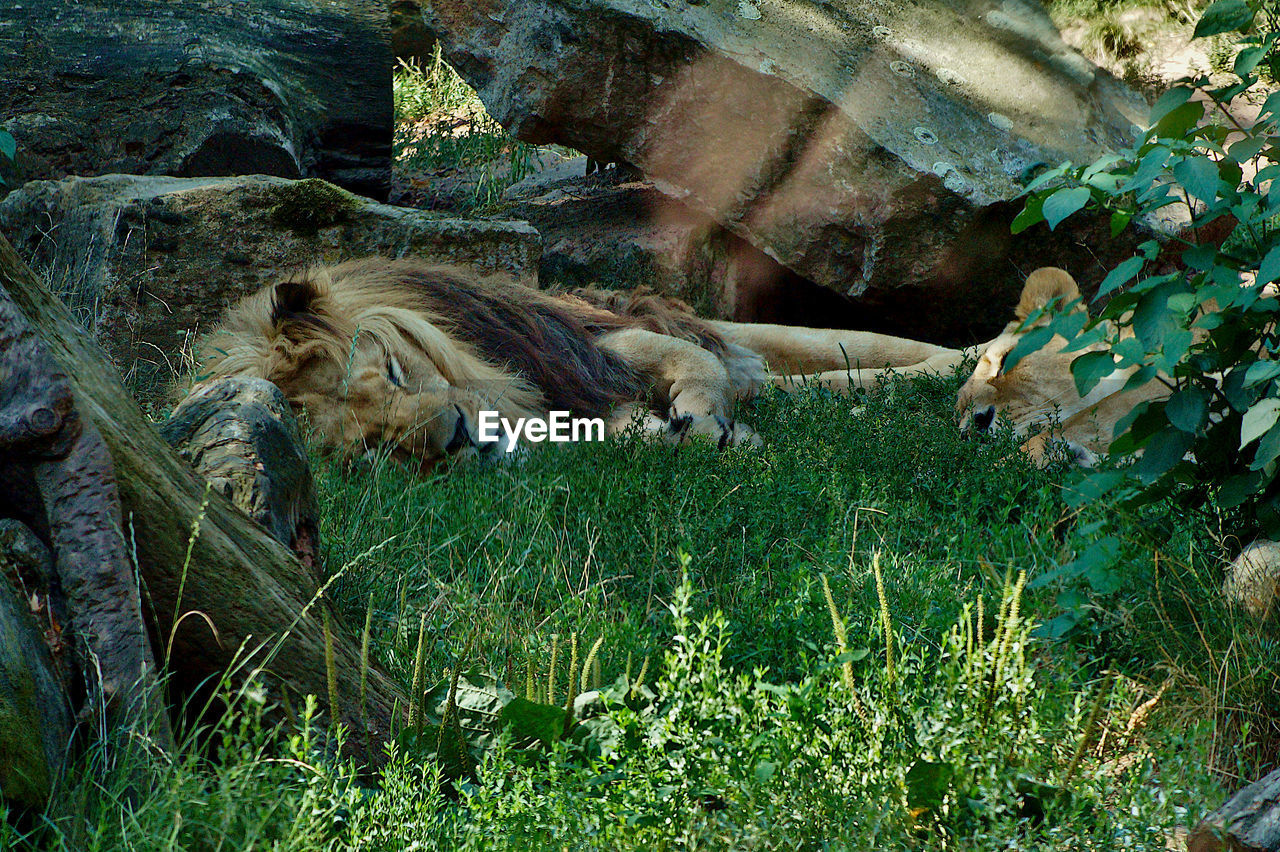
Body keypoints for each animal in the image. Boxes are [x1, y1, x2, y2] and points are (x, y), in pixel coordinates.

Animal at [194, 255, 962, 468]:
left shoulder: (593, 346)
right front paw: (685, 436)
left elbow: (693, 367)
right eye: (373, 444)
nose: (456, 438)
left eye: (391, 373)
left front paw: (705, 426)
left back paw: (975, 364)